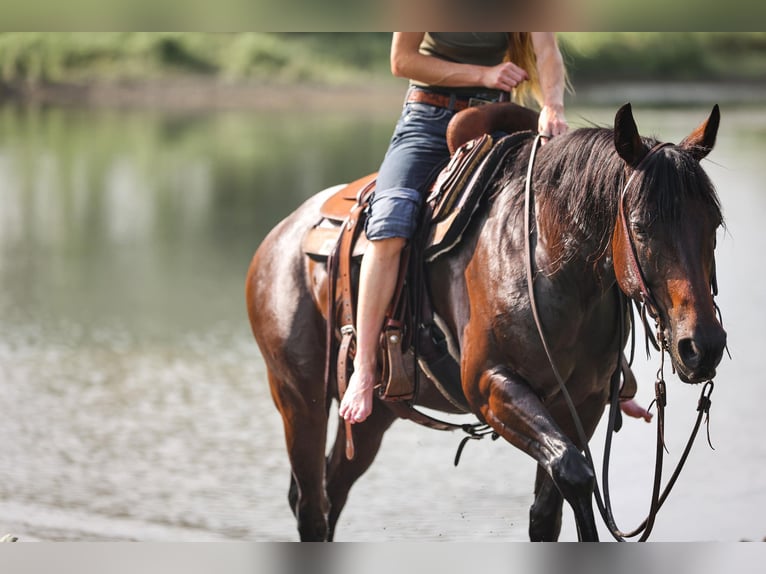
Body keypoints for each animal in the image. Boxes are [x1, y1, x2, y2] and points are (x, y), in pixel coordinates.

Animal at [246, 104, 728, 544]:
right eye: (642, 227)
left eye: (715, 223)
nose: (702, 345)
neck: (548, 263)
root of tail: (278, 237)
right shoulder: (489, 385)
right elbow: (574, 472)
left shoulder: (585, 400)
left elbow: (549, 509)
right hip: (299, 399)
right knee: (312, 505)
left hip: (372, 418)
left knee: (333, 490)